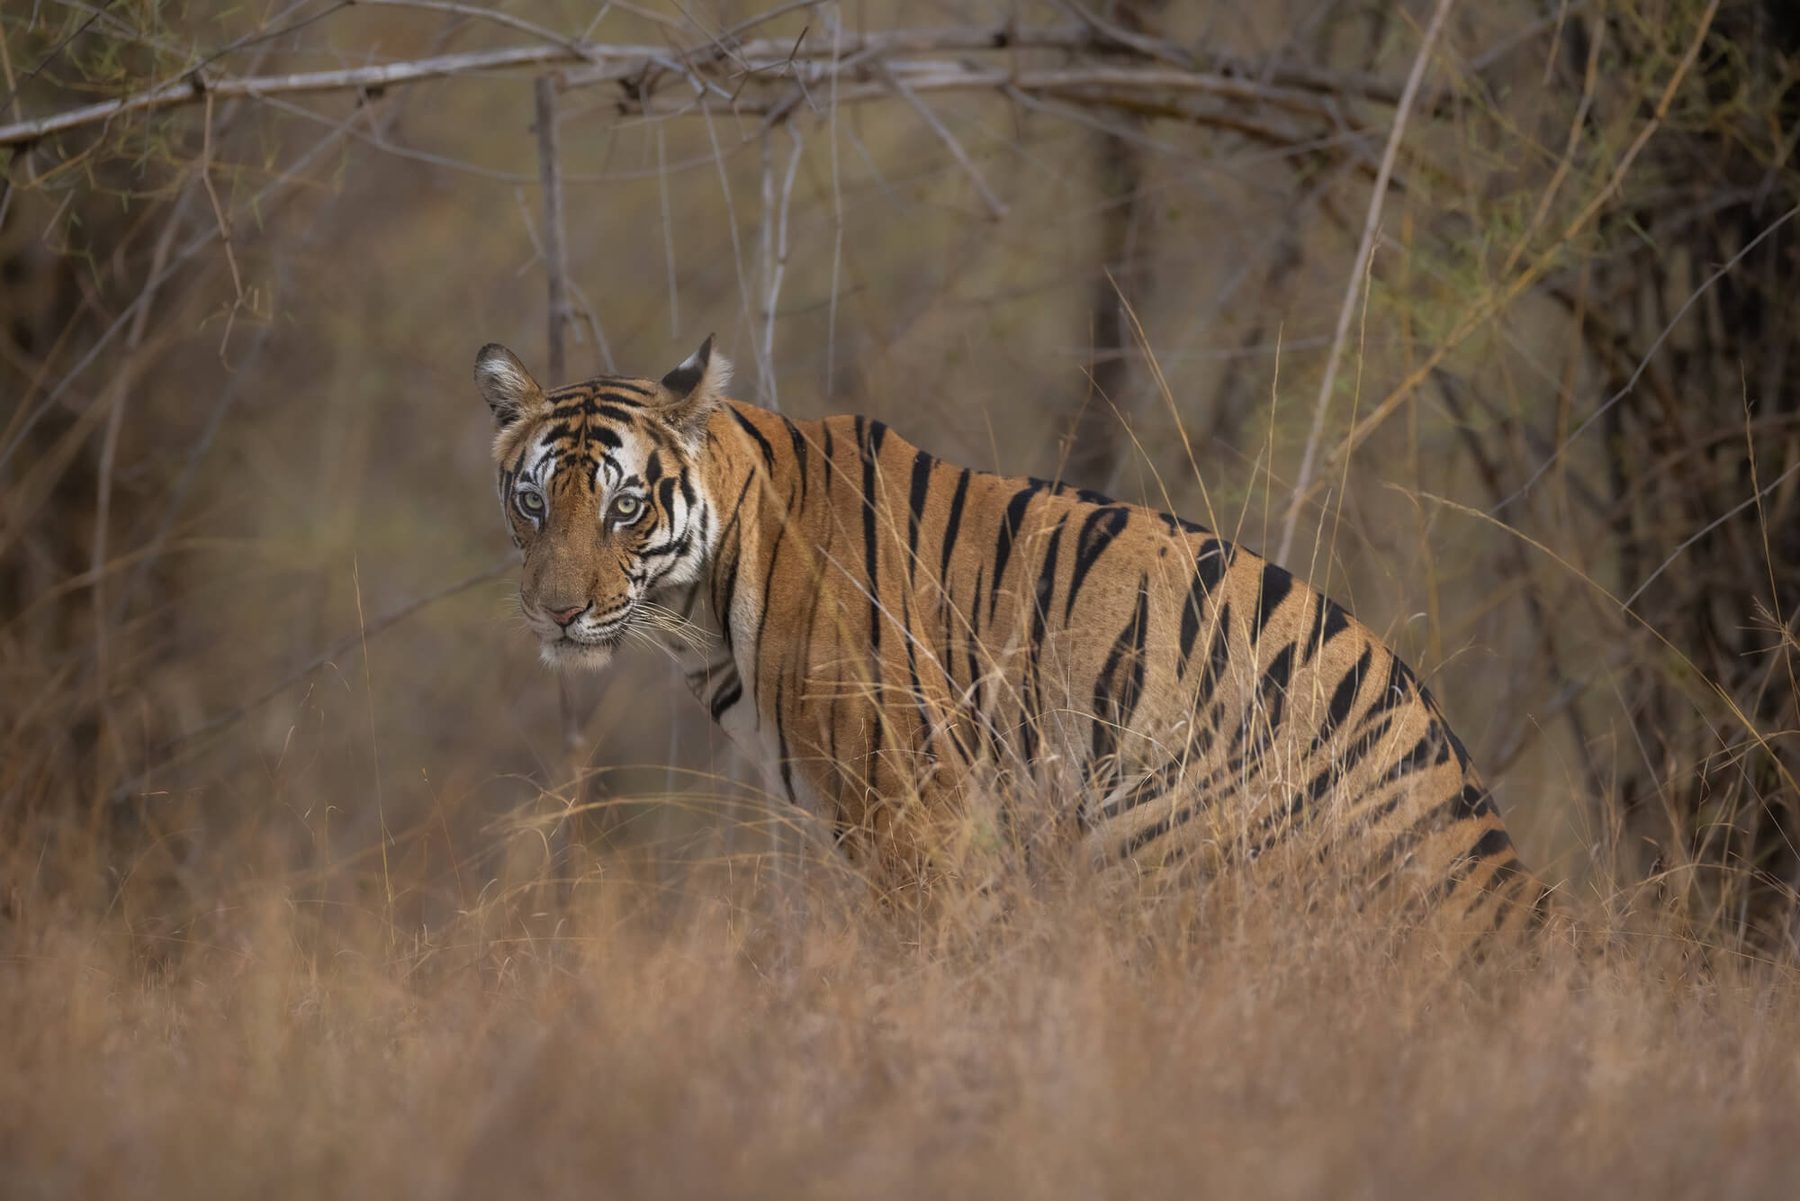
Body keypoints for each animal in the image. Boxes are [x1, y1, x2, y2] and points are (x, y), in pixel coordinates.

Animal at [474, 335, 1553, 935]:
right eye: (532, 502)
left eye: (623, 506)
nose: (556, 611)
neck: (703, 603)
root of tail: (1506, 883)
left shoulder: (916, 815)